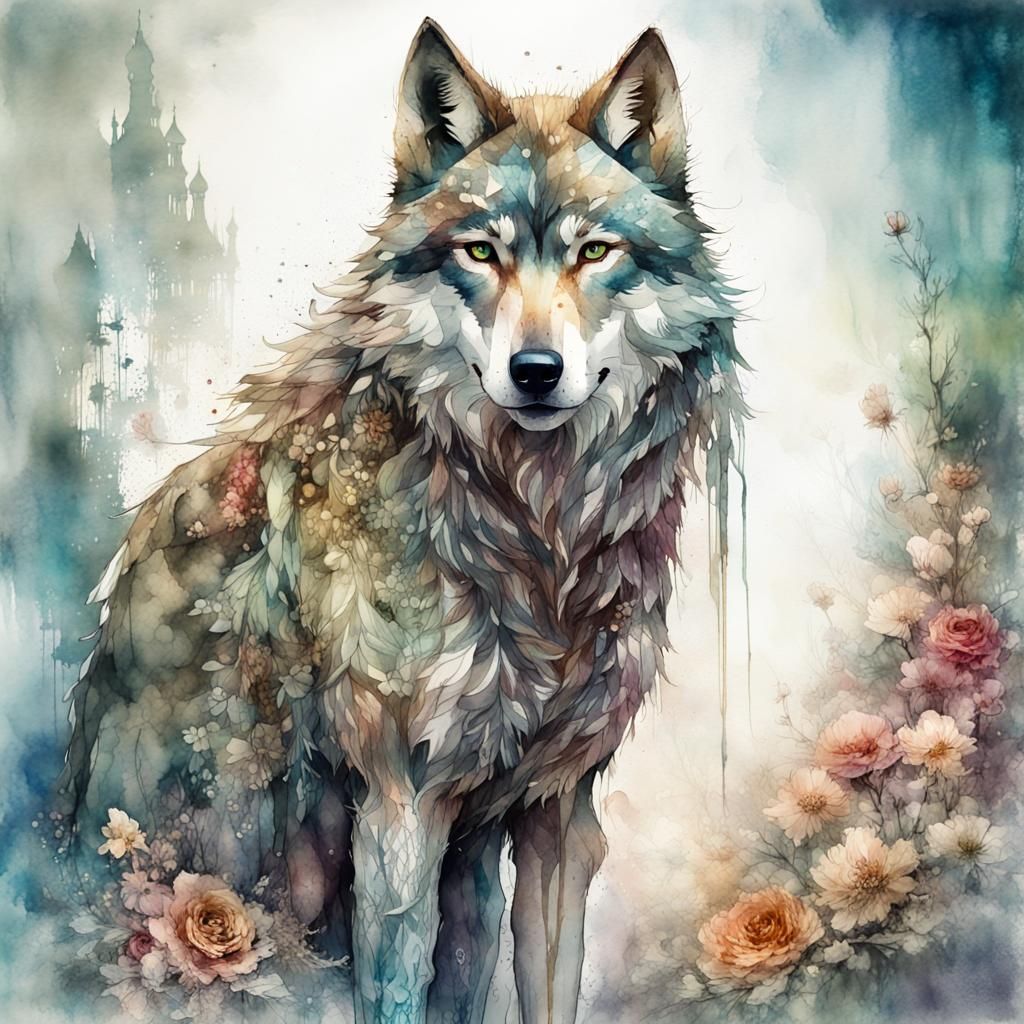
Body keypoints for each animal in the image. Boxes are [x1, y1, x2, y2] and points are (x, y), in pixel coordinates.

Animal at [60, 19, 745, 1024]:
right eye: (479, 253)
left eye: (593, 252)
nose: (535, 371)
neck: (534, 529)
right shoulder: (399, 811)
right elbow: (392, 992)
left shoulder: (557, 813)